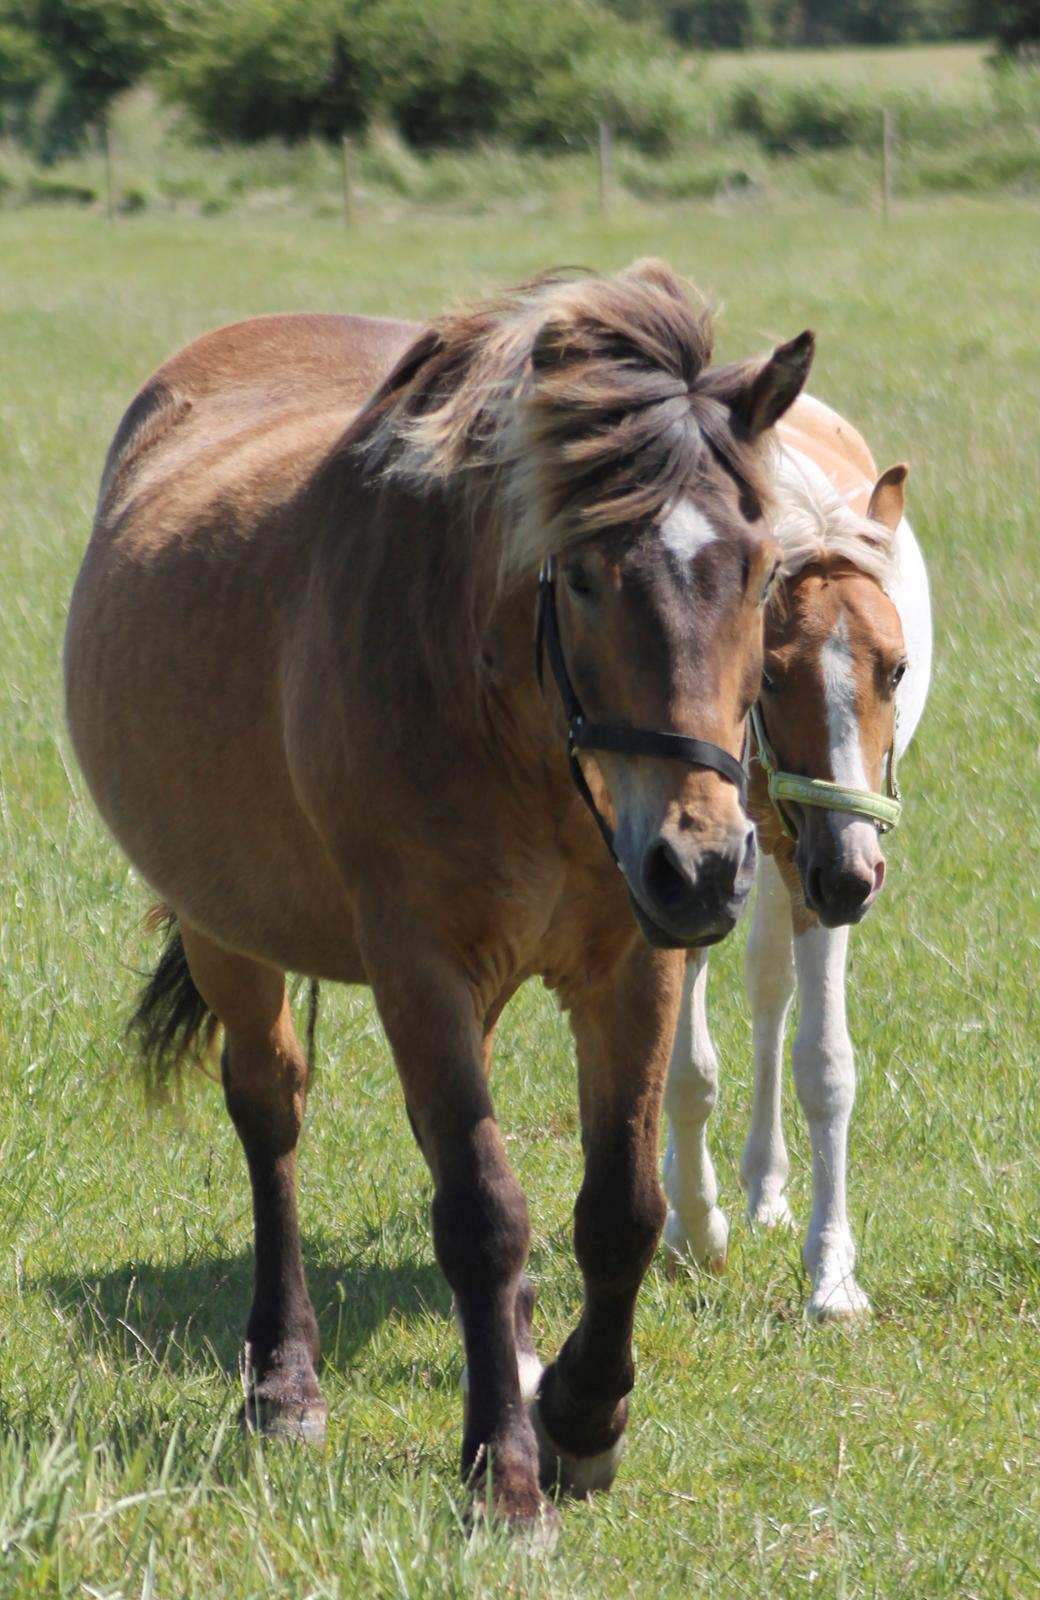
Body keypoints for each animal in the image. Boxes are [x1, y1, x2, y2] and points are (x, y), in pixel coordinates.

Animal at [64, 265, 812, 1536]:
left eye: (760, 571)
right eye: (579, 575)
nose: (703, 865)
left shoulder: (633, 959)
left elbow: (620, 1207)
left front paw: (579, 1415)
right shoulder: (417, 965)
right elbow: (480, 1209)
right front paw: (507, 1468)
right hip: (226, 933)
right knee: (271, 1113)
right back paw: (284, 1377)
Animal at [665, 393, 934, 1318]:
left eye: (897, 669)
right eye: (772, 677)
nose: (852, 875)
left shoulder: (817, 864)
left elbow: (825, 1064)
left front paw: (834, 1276)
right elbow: (686, 1068)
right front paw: (692, 1229)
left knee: (769, 984)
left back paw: (766, 1190)